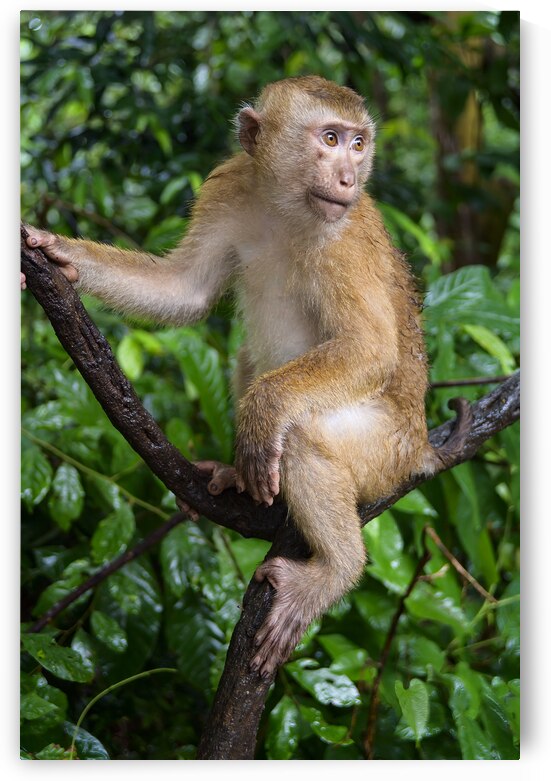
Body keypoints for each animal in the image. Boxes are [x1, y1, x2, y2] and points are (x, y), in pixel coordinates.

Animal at [23, 76, 472, 677]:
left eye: (358, 144)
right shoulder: (231, 185)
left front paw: (262, 416)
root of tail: (421, 445)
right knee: (246, 361)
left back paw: (335, 569)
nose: (349, 177)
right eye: (331, 138)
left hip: (385, 452)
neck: (287, 207)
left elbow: (370, 349)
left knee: (303, 434)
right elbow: (185, 290)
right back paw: (240, 477)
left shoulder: (345, 239)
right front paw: (60, 253)